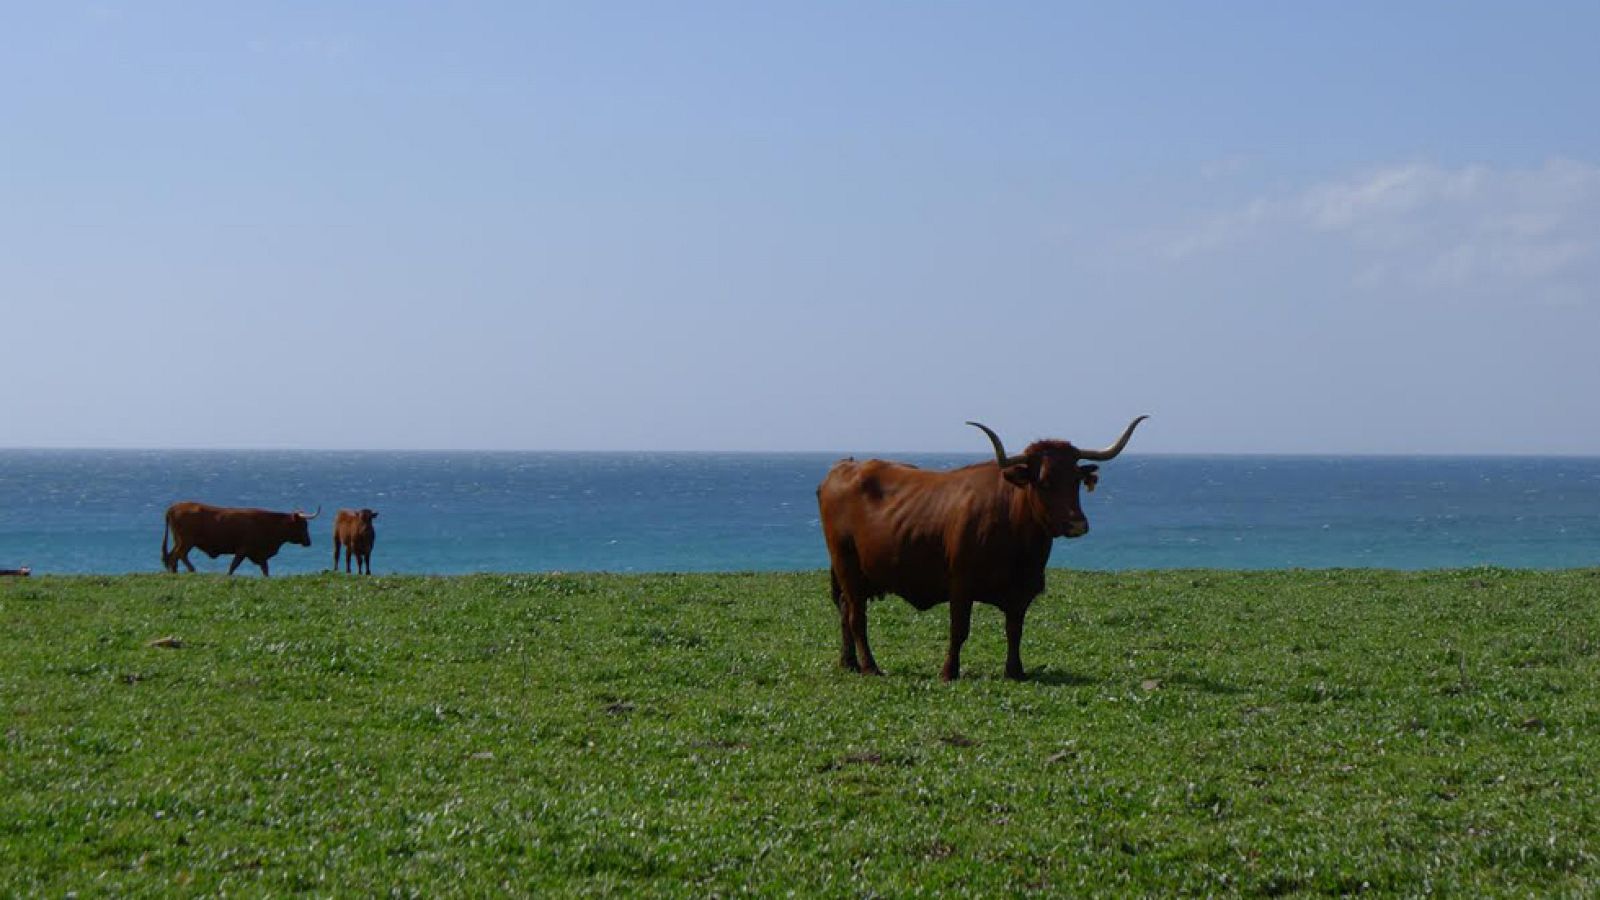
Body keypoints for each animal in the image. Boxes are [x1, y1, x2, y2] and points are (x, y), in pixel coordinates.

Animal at [161, 502, 320, 577]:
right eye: (303, 525)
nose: (308, 542)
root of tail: (174, 506)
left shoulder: (259, 554)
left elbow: (265, 570)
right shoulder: (244, 550)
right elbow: (233, 566)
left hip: (179, 540)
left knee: (172, 555)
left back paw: (174, 572)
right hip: (186, 541)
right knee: (179, 555)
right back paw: (191, 570)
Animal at [817, 416, 1148, 681]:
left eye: (1077, 479)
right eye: (1043, 481)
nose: (1077, 524)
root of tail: (845, 466)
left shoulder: (1021, 591)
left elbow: (1014, 630)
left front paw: (1015, 671)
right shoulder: (960, 585)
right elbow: (959, 629)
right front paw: (948, 672)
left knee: (845, 609)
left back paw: (848, 663)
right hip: (847, 566)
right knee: (856, 617)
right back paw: (870, 667)